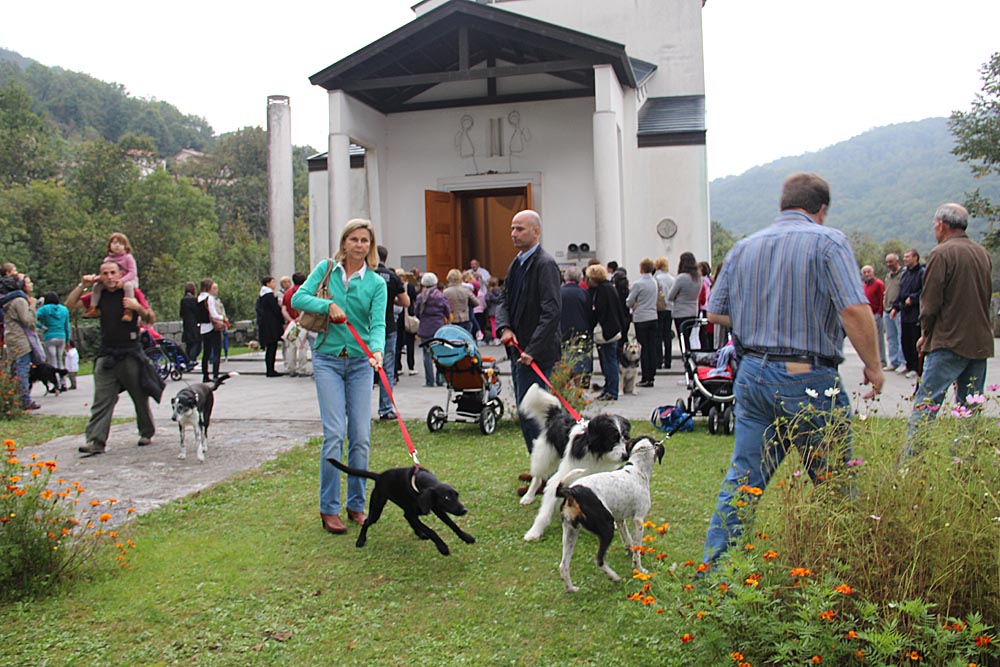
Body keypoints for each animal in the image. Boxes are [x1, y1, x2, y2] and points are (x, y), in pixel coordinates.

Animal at [327, 457, 475, 556]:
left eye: (457, 495)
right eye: (446, 498)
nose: (464, 510)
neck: (418, 485)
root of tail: (379, 476)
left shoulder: (436, 508)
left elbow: (452, 524)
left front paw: (466, 537)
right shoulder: (416, 513)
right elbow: (431, 530)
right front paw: (442, 547)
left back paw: (420, 534)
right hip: (377, 509)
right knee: (366, 522)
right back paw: (360, 541)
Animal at [518, 383, 631, 541]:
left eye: (625, 438)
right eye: (611, 439)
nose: (625, 456)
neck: (595, 453)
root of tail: (558, 413)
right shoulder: (561, 476)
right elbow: (545, 511)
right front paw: (534, 531)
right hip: (544, 456)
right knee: (537, 477)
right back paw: (528, 496)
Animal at [556, 436, 665, 592]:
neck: (637, 469)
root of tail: (572, 492)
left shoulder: (620, 520)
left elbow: (629, 541)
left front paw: (629, 551)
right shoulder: (638, 521)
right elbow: (637, 550)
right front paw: (639, 569)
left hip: (571, 532)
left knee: (563, 565)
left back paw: (571, 588)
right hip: (606, 528)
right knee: (599, 560)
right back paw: (614, 576)